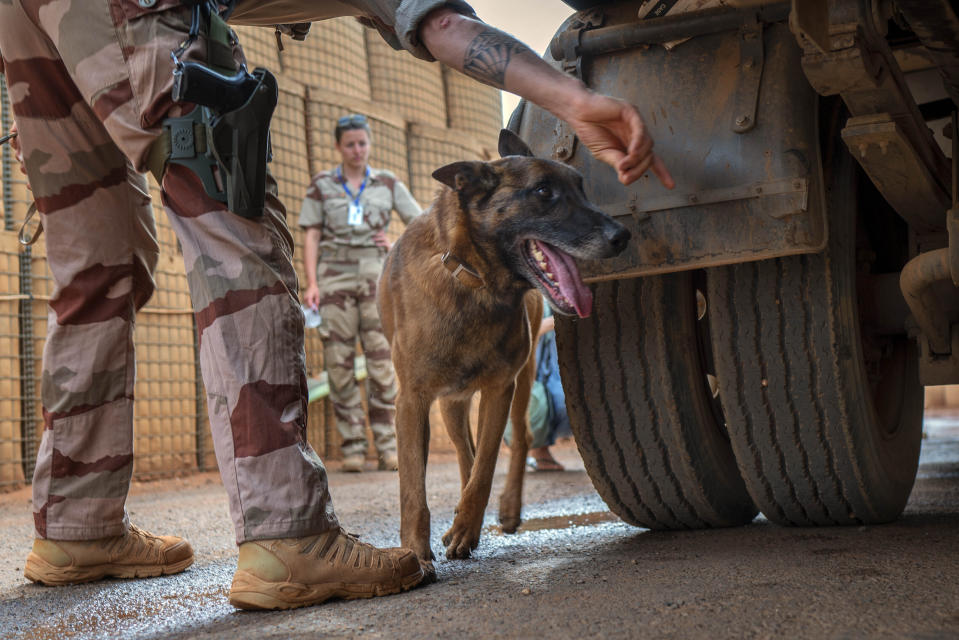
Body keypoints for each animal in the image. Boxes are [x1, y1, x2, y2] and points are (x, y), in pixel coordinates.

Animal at [378, 130, 632, 580]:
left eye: (581, 188)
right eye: (544, 192)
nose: (622, 235)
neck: (474, 282)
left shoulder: (500, 389)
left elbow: (486, 467)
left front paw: (467, 527)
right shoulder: (412, 401)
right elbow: (414, 486)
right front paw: (417, 551)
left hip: (521, 381)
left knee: (517, 441)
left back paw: (503, 511)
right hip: (451, 404)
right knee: (465, 449)